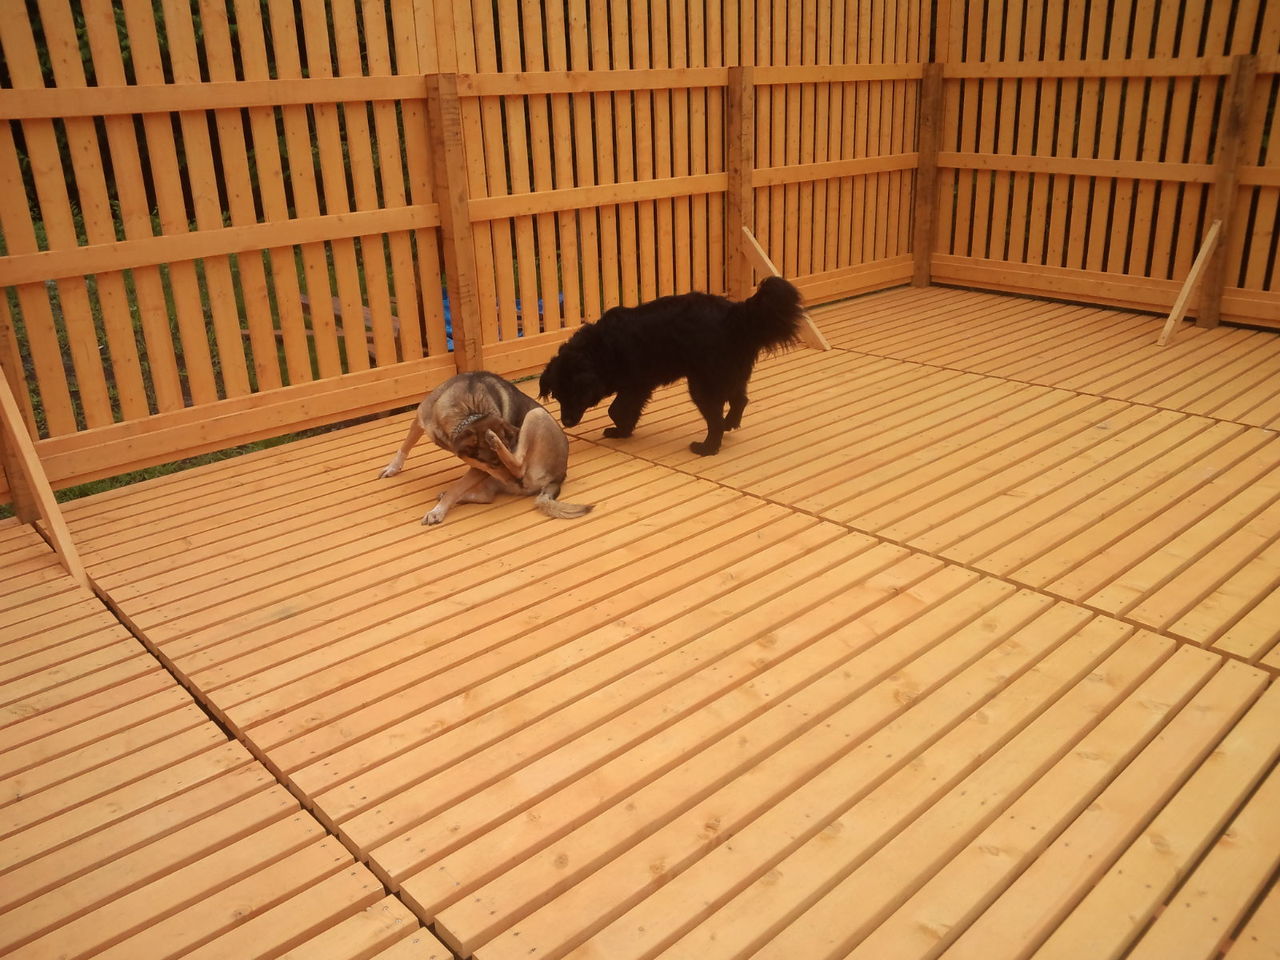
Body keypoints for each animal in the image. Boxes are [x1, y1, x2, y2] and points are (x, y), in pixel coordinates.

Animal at [379, 371, 593, 526]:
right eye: (494, 463)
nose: (518, 482)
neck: (470, 413)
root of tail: (559, 477)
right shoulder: (421, 420)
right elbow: (406, 445)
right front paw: (393, 467)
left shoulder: (479, 468)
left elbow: (456, 488)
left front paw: (438, 511)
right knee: (487, 496)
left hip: (536, 414)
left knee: (518, 465)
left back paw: (494, 441)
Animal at [538, 276, 803, 455]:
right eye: (558, 396)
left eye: (576, 395)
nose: (566, 422)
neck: (599, 350)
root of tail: (736, 315)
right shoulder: (637, 388)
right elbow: (624, 410)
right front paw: (624, 431)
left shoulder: (637, 385)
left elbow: (615, 409)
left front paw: (621, 430)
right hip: (729, 376)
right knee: (741, 400)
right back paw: (730, 424)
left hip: (703, 386)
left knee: (715, 420)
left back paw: (706, 448)